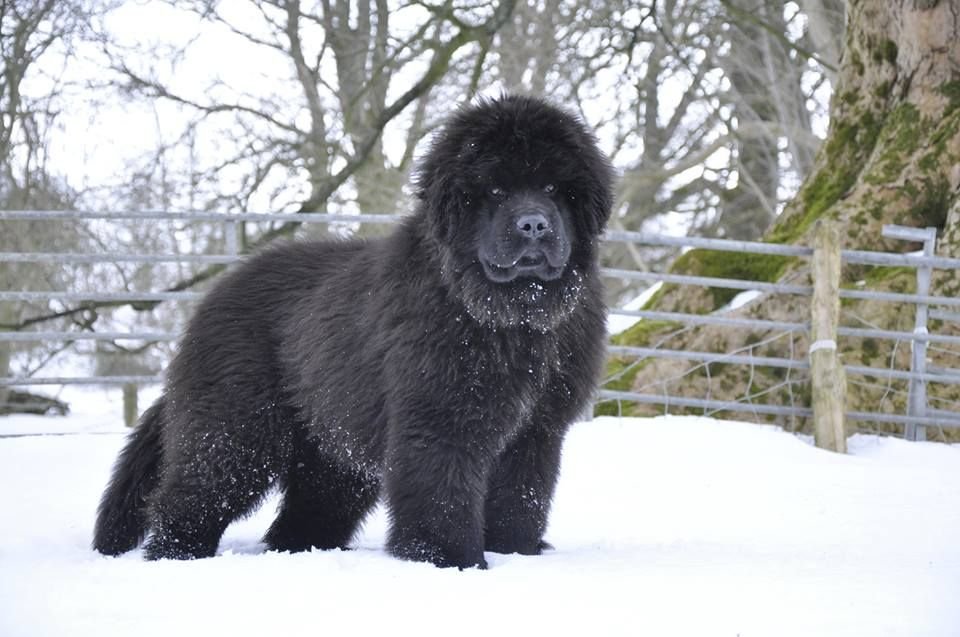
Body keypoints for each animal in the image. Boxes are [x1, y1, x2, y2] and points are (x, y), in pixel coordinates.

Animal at [94, 93, 612, 568]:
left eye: (552, 187)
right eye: (496, 191)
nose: (534, 225)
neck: (511, 315)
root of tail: (219, 290)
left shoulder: (537, 431)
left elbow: (521, 498)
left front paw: (515, 553)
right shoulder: (440, 418)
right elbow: (443, 494)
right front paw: (450, 561)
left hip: (331, 444)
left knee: (307, 512)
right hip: (235, 430)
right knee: (191, 495)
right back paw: (177, 554)